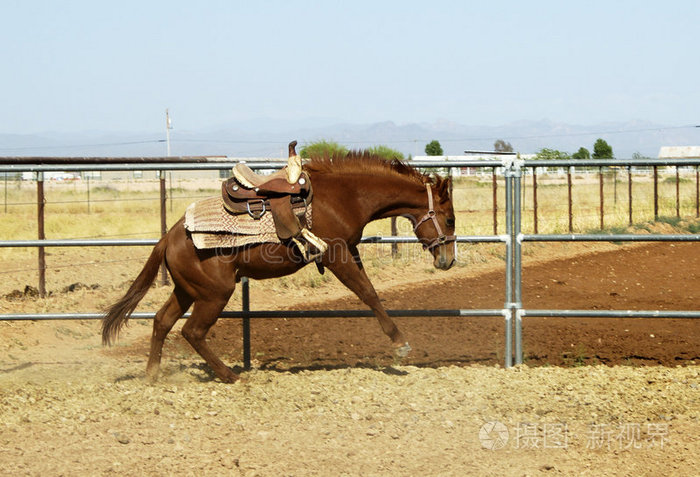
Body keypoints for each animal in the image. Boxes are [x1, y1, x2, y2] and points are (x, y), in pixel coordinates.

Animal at [101, 152, 456, 384]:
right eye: (450, 219)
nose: (448, 260)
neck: (344, 195)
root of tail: (169, 237)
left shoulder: (349, 250)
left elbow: (369, 291)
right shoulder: (336, 254)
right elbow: (368, 293)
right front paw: (400, 345)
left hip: (187, 290)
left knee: (162, 321)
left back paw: (152, 375)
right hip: (214, 293)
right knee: (193, 331)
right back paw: (230, 376)